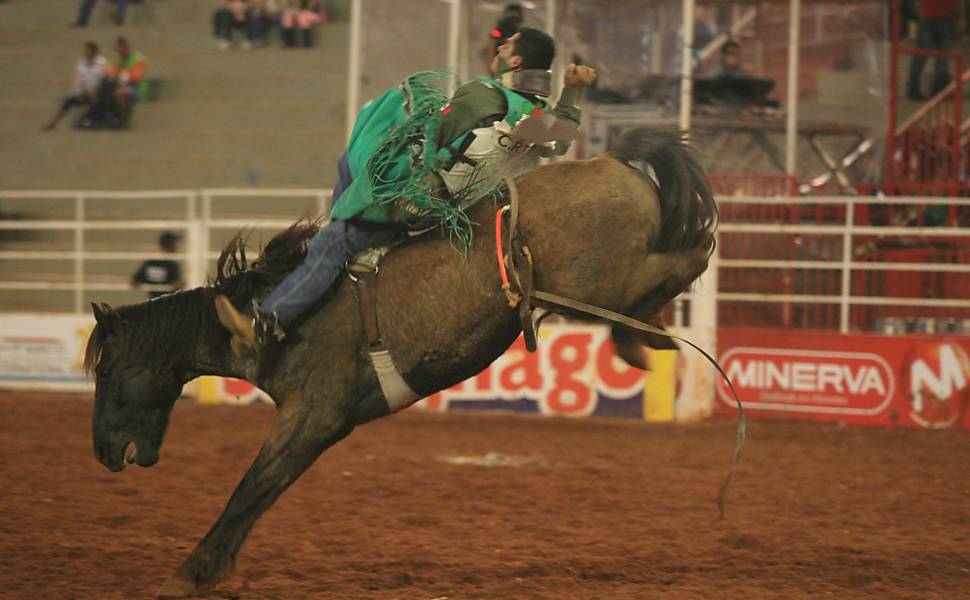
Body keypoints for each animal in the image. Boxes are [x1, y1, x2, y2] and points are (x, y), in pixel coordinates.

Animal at [83, 129, 716, 596]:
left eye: (107, 372)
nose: (105, 453)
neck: (273, 320)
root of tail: (611, 160)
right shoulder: (315, 424)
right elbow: (261, 490)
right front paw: (209, 569)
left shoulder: (310, 416)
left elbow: (251, 486)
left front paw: (190, 572)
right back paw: (641, 338)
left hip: (601, 280)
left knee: (690, 256)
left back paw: (644, 337)